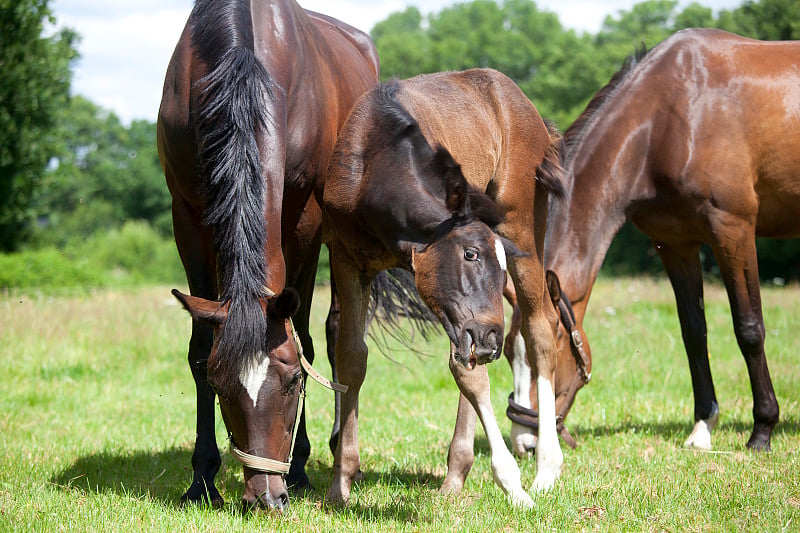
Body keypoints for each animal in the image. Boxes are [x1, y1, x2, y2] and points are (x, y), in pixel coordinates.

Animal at [160, 0, 382, 510]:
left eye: (293, 382)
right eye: (220, 383)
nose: (265, 496)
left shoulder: (305, 218)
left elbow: (306, 341)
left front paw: (298, 470)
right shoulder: (186, 213)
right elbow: (199, 345)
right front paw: (202, 478)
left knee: (337, 334)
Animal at [322, 68, 564, 504]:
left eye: (497, 262)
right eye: (470, 254)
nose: (491, 339)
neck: (373, 160)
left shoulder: (462, 312)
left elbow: (466, 371)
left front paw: (512, 483)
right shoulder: (347, 260)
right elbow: (351, 358)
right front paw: (340, 484)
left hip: (523, 225)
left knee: (539, 330)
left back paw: (545, 468)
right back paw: (456, 475)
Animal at [540, 28, 796, 454]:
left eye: (554, 338)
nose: (526, 439)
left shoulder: (733, 229)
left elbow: (749, 328)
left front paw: (762, 428)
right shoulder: (675, 244)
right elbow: (694, 332)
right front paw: (703, 425)